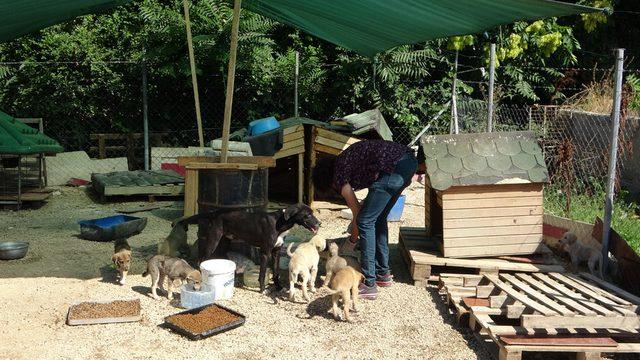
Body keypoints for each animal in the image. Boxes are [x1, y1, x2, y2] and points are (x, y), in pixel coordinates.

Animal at [178, 202, 320, 292]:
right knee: (201, 259)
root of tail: (215, 212)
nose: (319, 223)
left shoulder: (276, 252)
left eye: (313, 213)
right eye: (308, 215)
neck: (280, 222)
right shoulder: (265, 252)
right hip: (213, 240)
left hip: (224, 242)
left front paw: (278, 288)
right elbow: (262, 273)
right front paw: (262, 290)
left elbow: (276, 273)